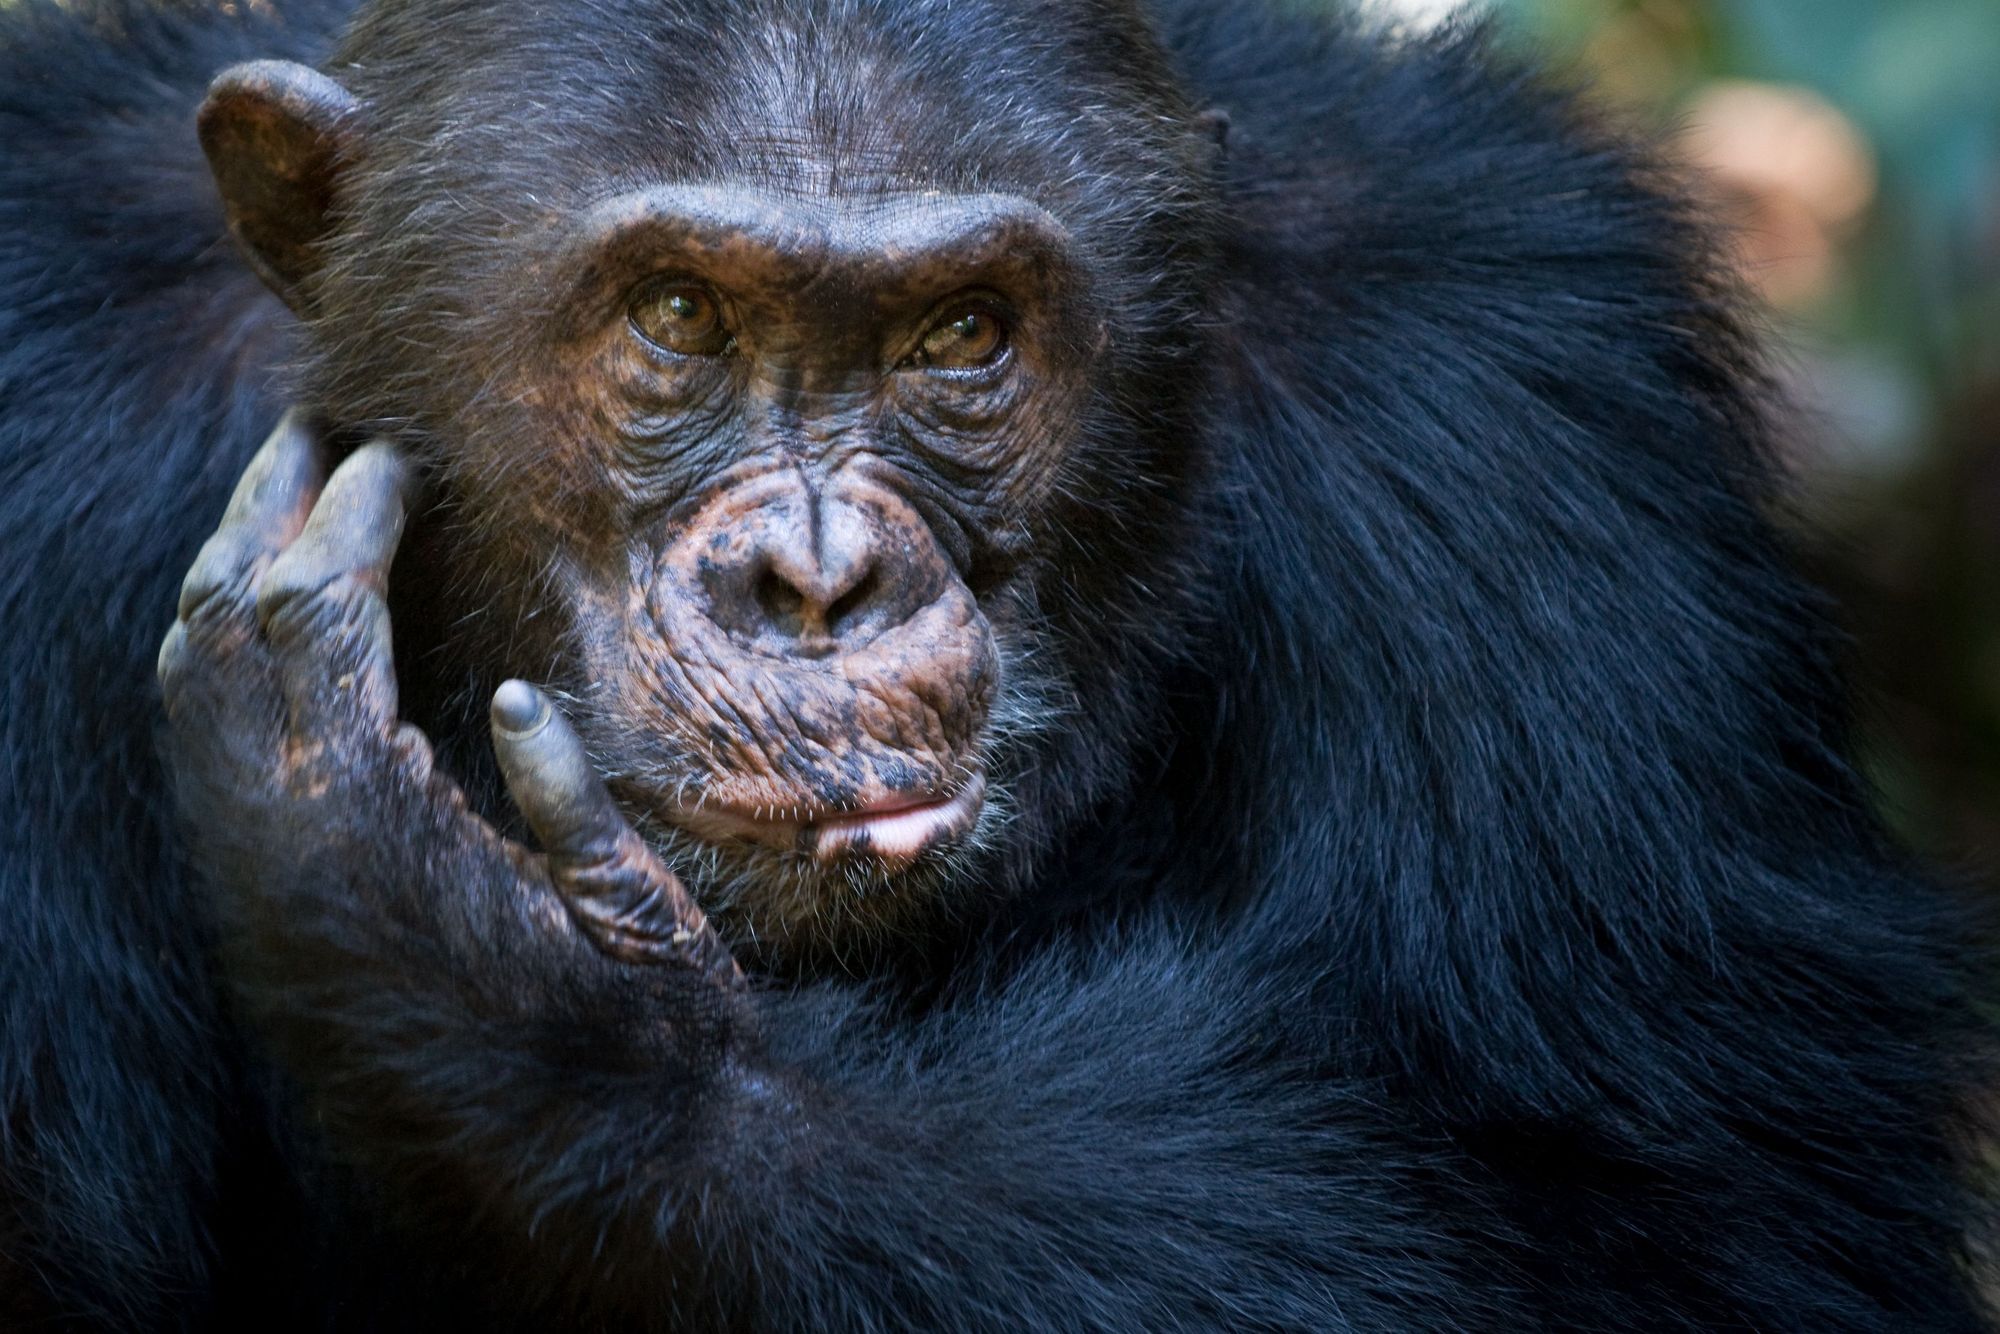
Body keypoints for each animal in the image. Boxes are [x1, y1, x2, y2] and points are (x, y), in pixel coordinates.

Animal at [0, 0, 1992, 1328]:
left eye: (962, 335)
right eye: (674, 313)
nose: (819, 577)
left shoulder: (1526, 403)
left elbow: (1679, 1233)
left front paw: (531, 993)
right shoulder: (48, 357)